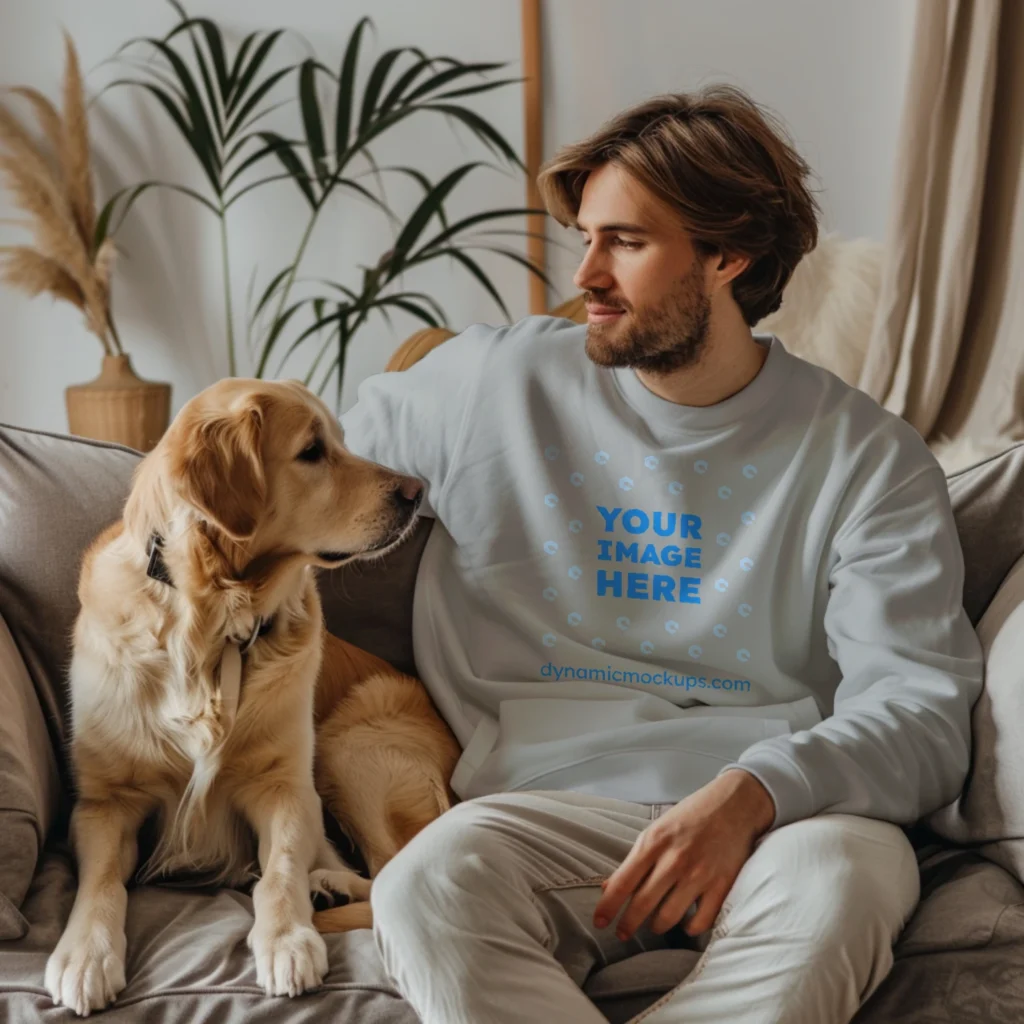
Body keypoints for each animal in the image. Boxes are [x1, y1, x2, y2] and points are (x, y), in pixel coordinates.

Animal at [45, 378, 456, 1015]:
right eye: (313, 451)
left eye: (341, 440)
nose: (418, 492)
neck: (211, 624)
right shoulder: (104, 803)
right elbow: (103, 881)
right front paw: (85, 954)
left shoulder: (285, 786)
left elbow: (280, 870)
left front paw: (287, 939)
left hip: (347, 748)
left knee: (390, 873)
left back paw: (329, 889)